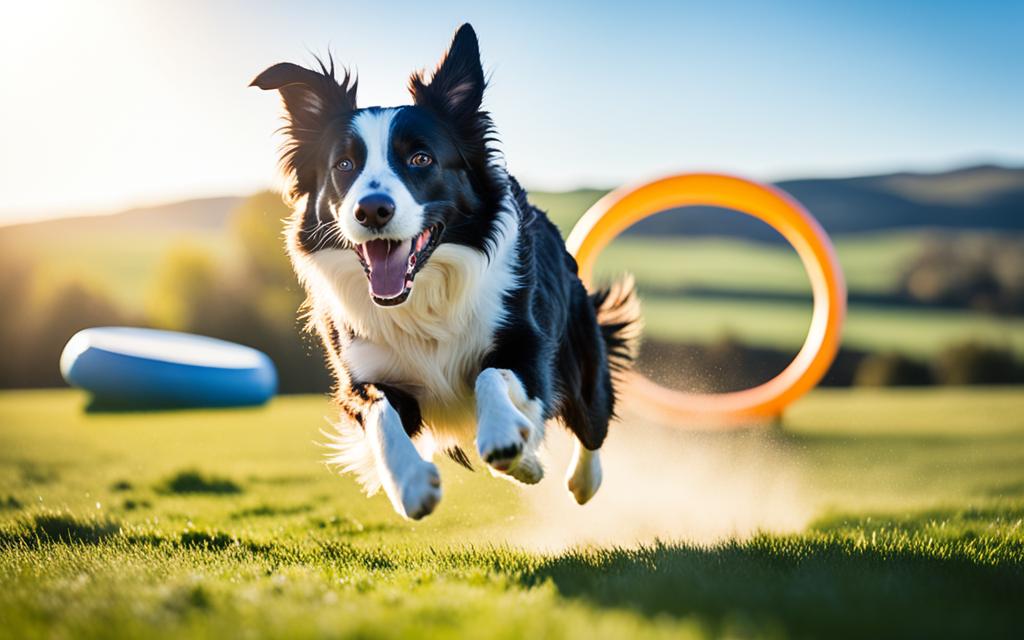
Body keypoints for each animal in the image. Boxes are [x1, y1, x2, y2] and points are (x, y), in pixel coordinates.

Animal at [253, 23, 638, 520]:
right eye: (344, 164)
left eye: (421, 159)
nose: (372, 210)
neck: (423, 296)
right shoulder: (362, 376)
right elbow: (380, 414)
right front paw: (411, 482)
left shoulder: (528, 346)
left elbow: (491, 374)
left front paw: (502, 433)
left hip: (581, 358)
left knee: (592, 424)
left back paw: (577, 478)